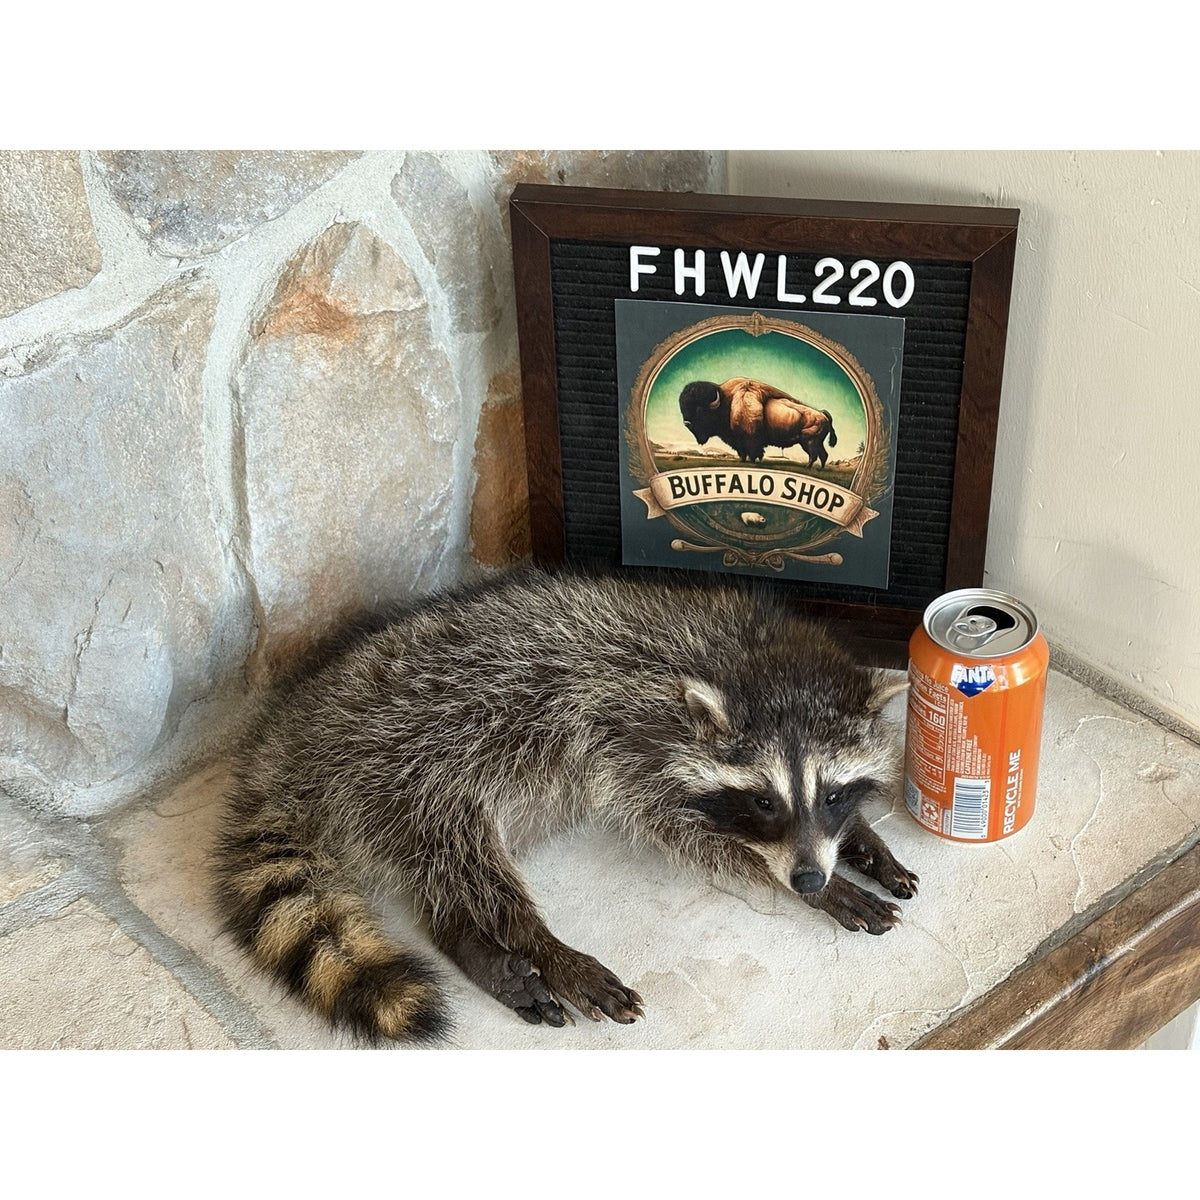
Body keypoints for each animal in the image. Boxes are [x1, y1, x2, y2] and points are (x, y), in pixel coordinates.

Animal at [212, 567, 918, 1043]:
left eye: (831, 793)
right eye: (765, 801)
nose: (809, 878)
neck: (749, 657)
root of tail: (286, 737)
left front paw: (860, 841)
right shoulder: (631, 738)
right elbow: (682, 833)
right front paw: (812, 884)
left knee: (440, 882)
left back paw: (464, 938)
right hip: (406, 763)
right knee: (466, 860)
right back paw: (537, 944)